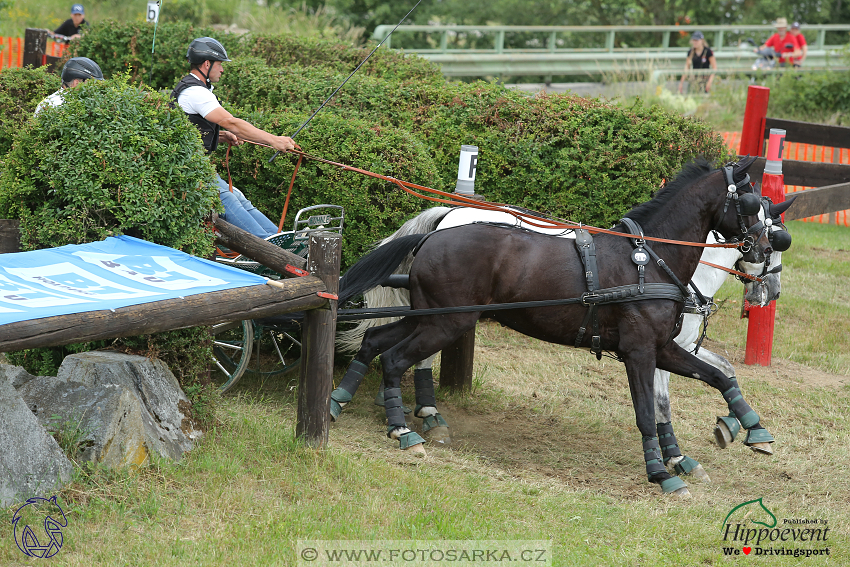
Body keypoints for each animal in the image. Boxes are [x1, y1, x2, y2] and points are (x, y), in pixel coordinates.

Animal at [336, 159, 768, 496]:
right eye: (751, 203)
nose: (766, 248)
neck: (649, 261)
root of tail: (432, 234)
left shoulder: (663, 347)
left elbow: (718, 376)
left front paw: (754, 430)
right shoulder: (640, 351)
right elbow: (648, 411)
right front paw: (661, 473)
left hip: (430, 317)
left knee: (375, 340)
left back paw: (339, 401)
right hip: (446, 322)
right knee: (394, 359)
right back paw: (401, 431)